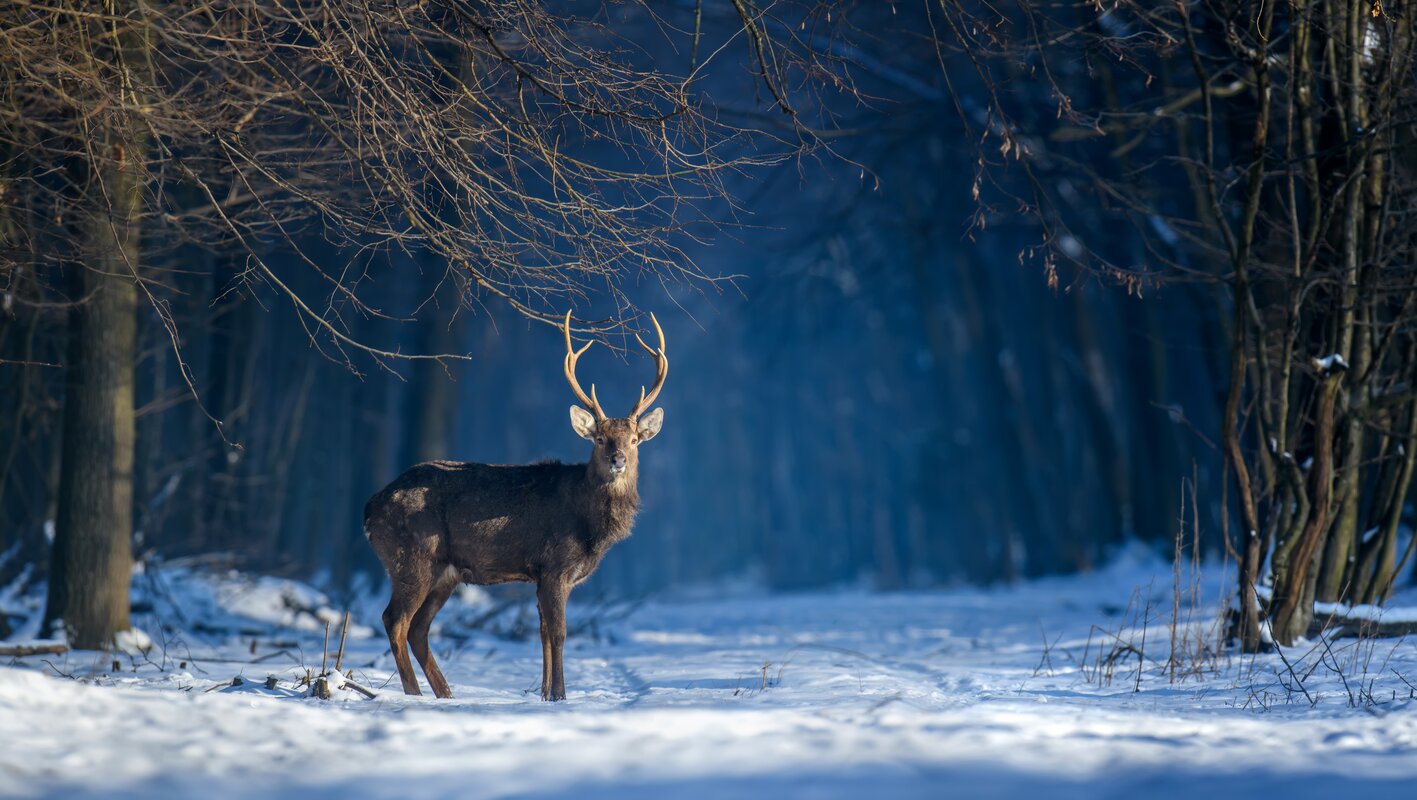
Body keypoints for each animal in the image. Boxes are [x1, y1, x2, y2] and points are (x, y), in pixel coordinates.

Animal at [368, 311, 671, 699]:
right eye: (601, 438)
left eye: (634, 440)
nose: (618, 459)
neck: (589, 526)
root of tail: (369, 511)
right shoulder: (554, 565)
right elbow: (558, 633)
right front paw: (560, 694)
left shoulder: (544, 575)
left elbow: (541, 634)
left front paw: (545, 694)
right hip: (411, 556)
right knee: (395, 620)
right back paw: (415, 694)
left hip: (444, 572)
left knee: (419, 628)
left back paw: (446, 695)